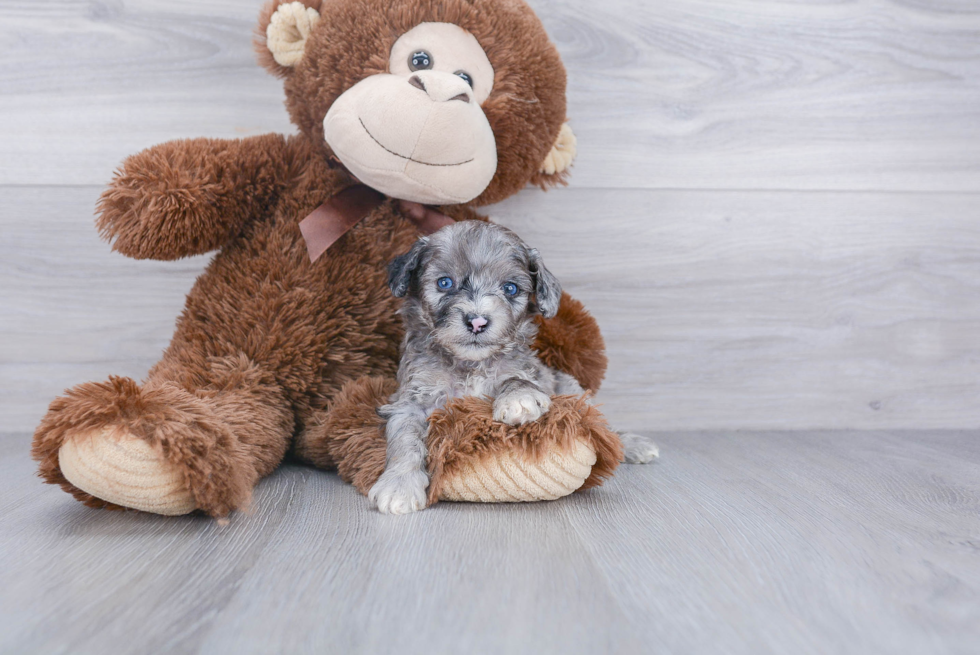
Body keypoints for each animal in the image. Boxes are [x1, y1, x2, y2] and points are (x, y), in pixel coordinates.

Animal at [368, 223, 660, 516]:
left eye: (510, 288)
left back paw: (632, 444)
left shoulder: (525, 369)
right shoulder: (411, 399)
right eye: (444, 283)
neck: (471, 364)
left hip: (572, 390)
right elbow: (405, 440)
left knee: (603, 428)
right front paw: (399, 484)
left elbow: (517, 379)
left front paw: (519, 399)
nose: (477, 322)